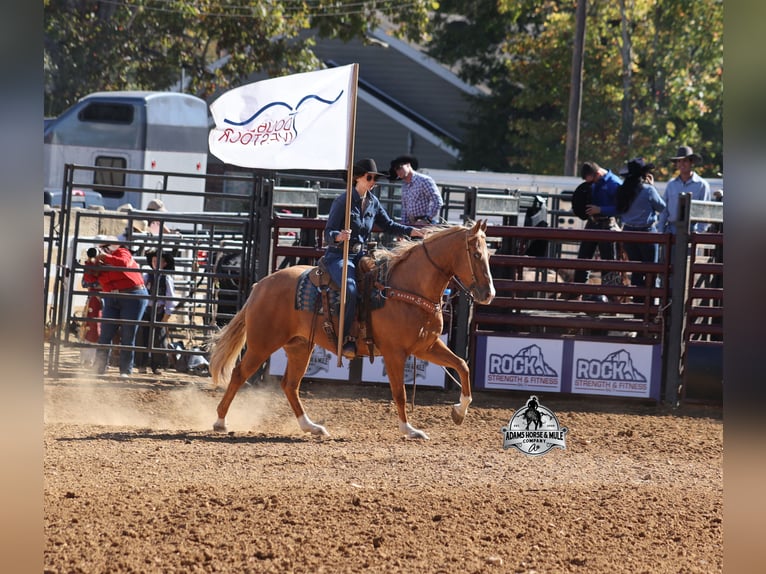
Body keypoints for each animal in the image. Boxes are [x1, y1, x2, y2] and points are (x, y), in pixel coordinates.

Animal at [208, 220, 496, 440]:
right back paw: (220, 421)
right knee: (239, 374)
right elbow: (400, 393)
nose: (489, 294)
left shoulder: (426, 346)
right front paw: (409, 430)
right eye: (476, 254)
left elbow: (462, 366)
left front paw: (459, 411)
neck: (406, 287)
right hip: (263, 343)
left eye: (489, 254)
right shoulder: (395, 353)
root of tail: (262, 284)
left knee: (290, 385)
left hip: (300, 345)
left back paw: (311, 427)